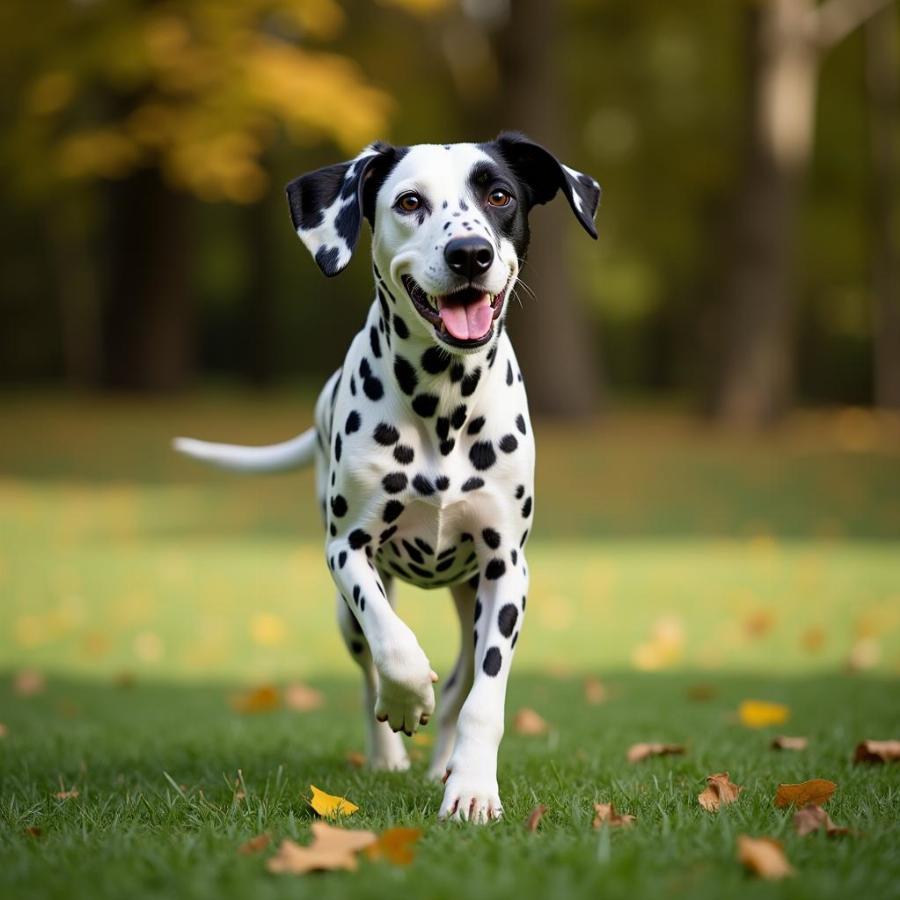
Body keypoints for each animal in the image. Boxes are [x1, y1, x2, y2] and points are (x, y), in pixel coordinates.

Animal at [173, 134, 600, 824]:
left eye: (498, 194)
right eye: (409, 202)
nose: (470, 253)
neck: (443, 401)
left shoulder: (507, 569)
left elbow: (483, 699)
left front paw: (471, 787)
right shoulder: (347, 549)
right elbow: (393, 648)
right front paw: (406, 702)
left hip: (471, 603)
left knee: (458, 685)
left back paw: (441, 764)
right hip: (349, 615)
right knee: (368, 666)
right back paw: (388, 756)